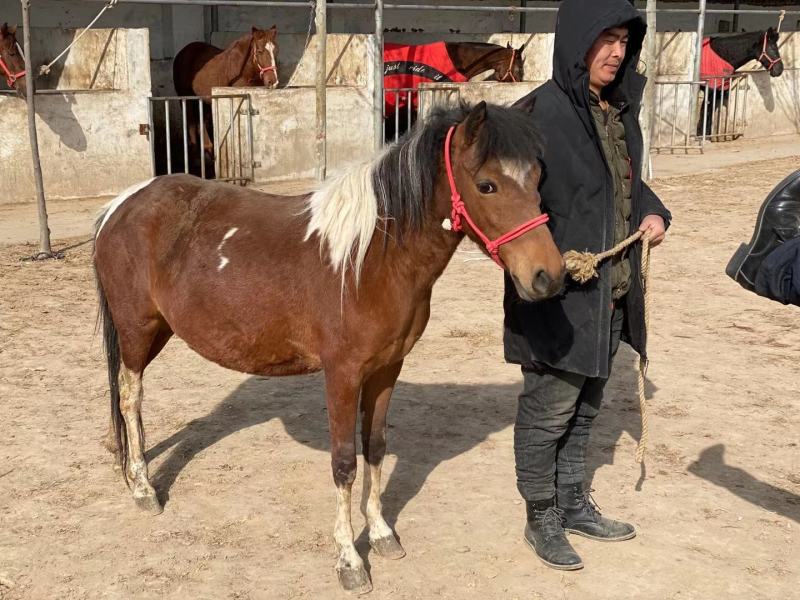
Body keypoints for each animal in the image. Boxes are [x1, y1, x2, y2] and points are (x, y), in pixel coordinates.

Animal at [93, 101, 565, 594]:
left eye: (537, 178)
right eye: (487, 185)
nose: (548, 276)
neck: (371, 258)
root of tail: (121, 205)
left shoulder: (386, 369)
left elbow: (374, 448)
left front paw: (381, 534)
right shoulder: (342, 374)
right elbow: (344, 464)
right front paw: (349, 561)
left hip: (159, 331)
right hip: (136, 330)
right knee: (130, 398)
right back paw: (143, 488)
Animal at [172, 25, 279, 177]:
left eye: (275, 50)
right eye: (259, 51)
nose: (273, 82)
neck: (243, 70)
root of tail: (182, 52)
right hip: (185, 97)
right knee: (191, 124)